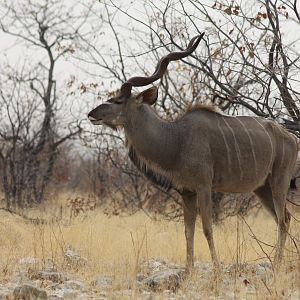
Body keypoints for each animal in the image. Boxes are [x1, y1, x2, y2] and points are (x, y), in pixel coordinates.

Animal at [88, 34, 298, 270]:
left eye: (117, 100)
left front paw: (216, 270)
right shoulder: (186, 192)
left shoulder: (204, 187)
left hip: (279, 182)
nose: (91, 114)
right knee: (284, 218)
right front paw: (189, 271)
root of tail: (292, 137)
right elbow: (188, 231)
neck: (176, 138)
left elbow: (207, 229)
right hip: (262, 188)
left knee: (283, 220)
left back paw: (277, 266)